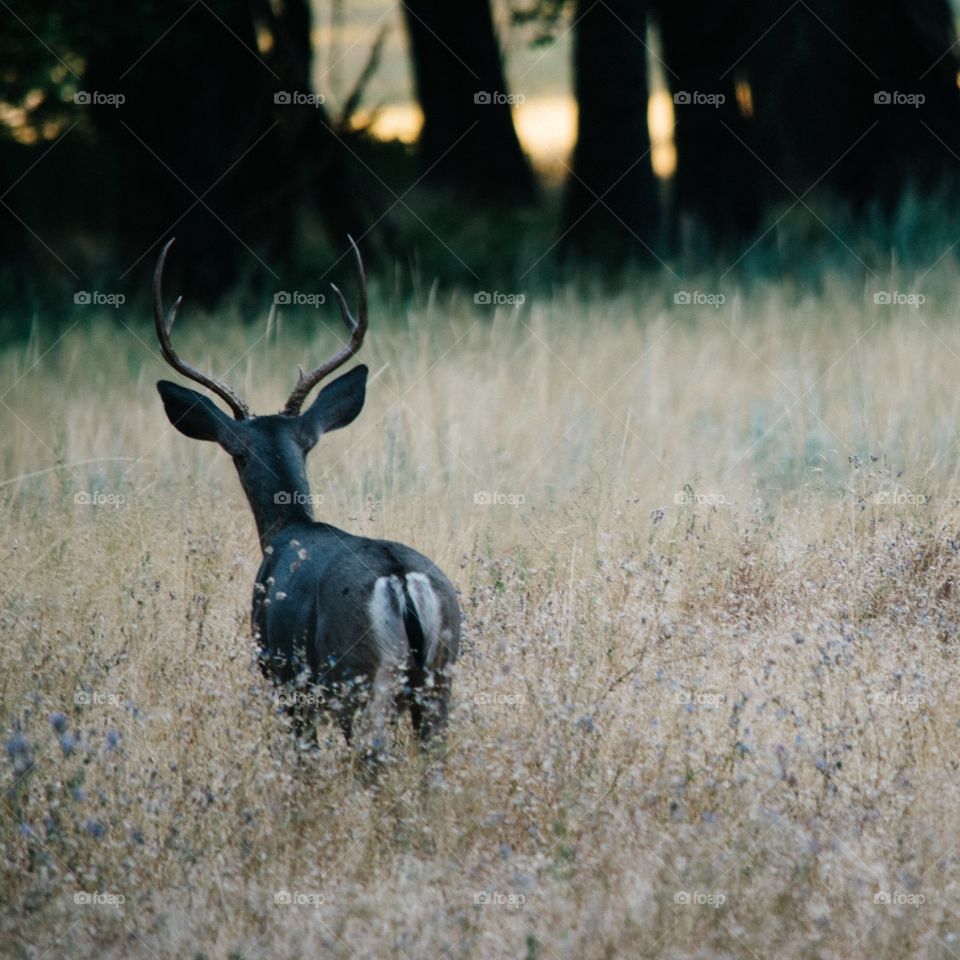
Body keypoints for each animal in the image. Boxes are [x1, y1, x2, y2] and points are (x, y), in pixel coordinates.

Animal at [154, 238, 462, 756]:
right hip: (442, 675)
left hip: (357, 675)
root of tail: (401, 581)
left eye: (236, 454)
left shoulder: (285, 680)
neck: (289, 529)